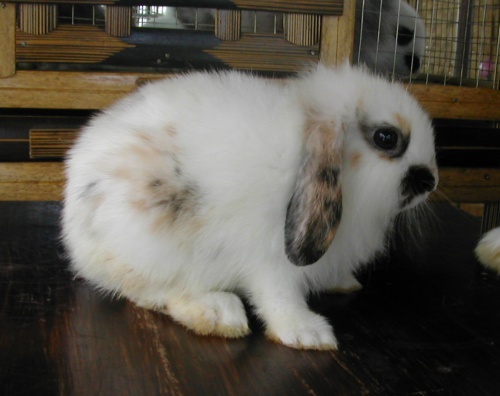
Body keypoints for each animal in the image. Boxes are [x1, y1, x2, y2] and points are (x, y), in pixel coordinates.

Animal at [61, 64, 438, 350]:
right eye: (386, 138)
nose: (431, 181)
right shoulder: (271, 262)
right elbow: (279, 297)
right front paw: (308, 334)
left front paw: (344, 282)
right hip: (150, 242)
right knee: (152, 292)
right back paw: (218, 313)